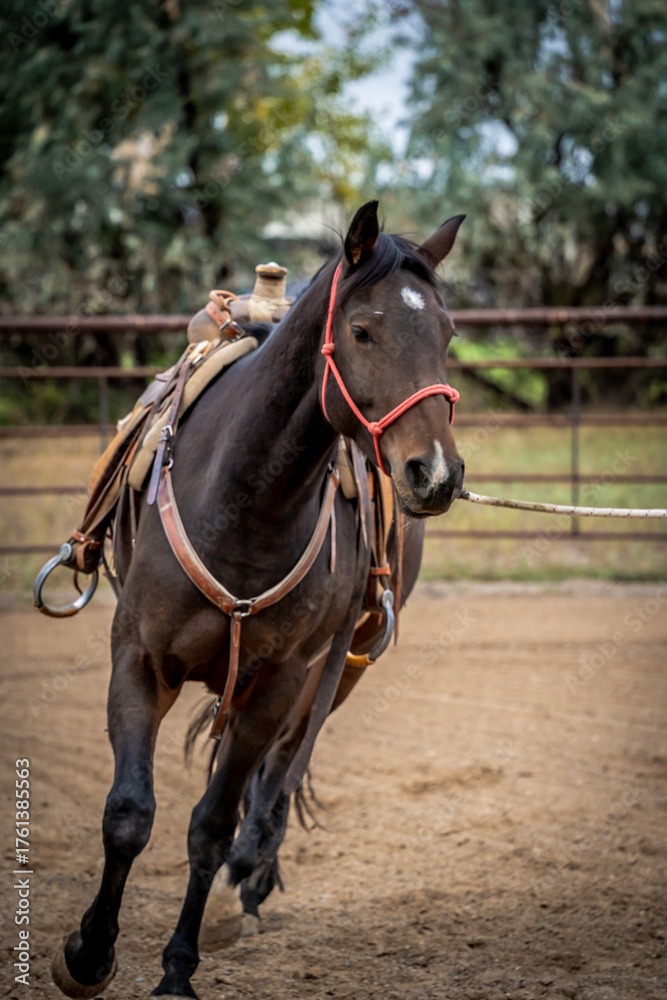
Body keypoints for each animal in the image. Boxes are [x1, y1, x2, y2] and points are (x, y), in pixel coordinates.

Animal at [51, 200, 465, 1000]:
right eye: (362, 330)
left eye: (446, 333)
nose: (434, 473)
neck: (246, 502)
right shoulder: (138, 661)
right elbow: (129, 814)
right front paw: (87, 954)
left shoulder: (279, 681)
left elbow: (211, 825)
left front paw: (178, 968)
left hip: (336, 671)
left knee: (275, 777)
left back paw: (249, 878)